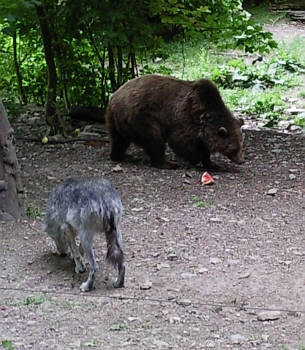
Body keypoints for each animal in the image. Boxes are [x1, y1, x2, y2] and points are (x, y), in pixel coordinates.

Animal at [105, 74, 243, 168]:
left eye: (241, 145)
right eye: (234, 148)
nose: (242, 161)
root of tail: (113, 98)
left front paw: (212, 164)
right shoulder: (185, 119)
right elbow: (181, 142)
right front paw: (196, 158)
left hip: (114, 121)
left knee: (119, 140)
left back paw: (119, 155)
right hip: (140, 116)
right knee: (154, 139)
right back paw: (167, 163)